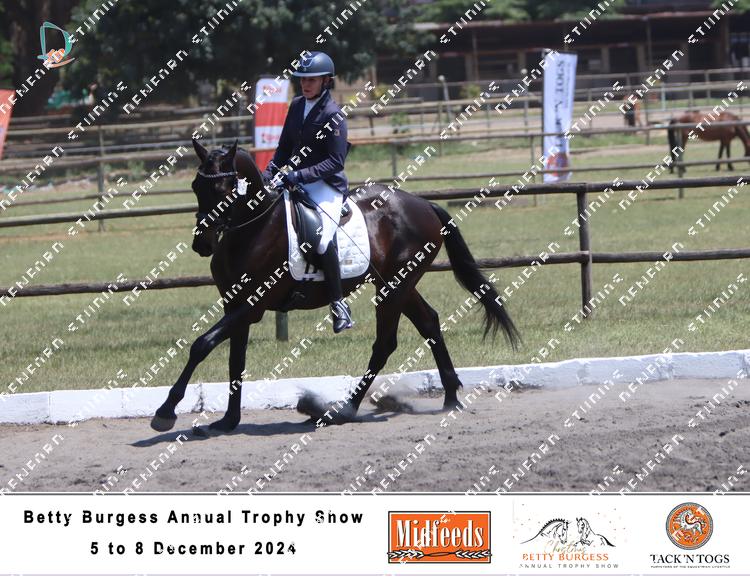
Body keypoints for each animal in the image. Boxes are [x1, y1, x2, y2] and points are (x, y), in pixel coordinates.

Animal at [149, 138, 520, 434]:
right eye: (196, 186)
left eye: (225, 189)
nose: (202, 244)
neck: (253, 228)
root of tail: (422, 203)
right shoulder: (234, 304)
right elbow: (234, 360)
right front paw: (228, 421)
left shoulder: (253, 305)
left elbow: (201, 344)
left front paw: (165, 412)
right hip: (397, 283)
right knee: (429, 322)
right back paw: (451, 396)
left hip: (394, 288)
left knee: (385, 343)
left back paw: (344, 410)